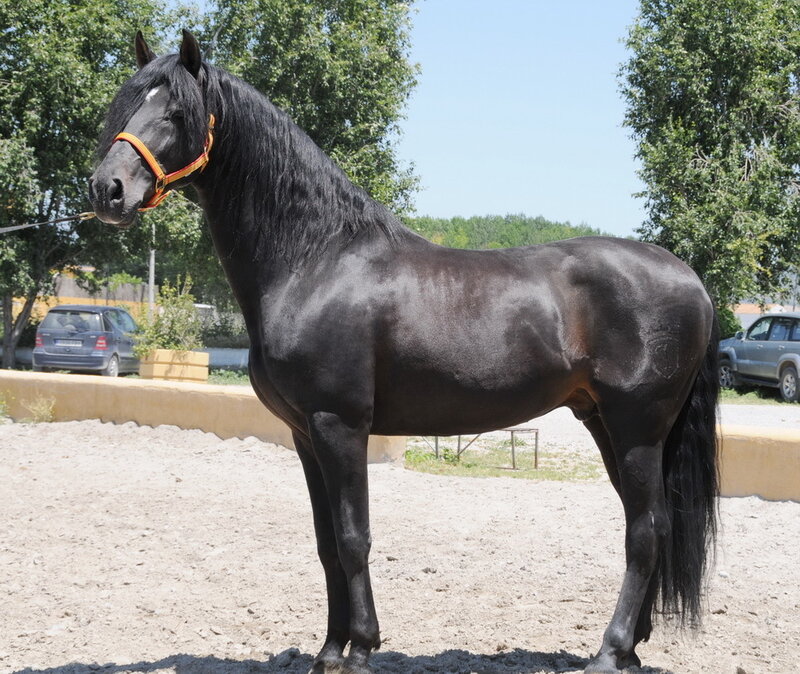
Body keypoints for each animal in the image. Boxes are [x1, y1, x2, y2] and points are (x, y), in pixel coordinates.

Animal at [89, 31, 720, 674]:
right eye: (128, 105)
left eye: (176, 112)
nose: (106, 189)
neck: (313, 260)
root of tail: (690, 279)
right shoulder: (304, 434)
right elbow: (325, 542)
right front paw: (329, 650)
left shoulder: (340, 425)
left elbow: (353, 537)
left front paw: (362, 647)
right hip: (605, 423)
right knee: (650, 525)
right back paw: (631, 647)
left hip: (637, 428)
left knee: (646, 530)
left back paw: (610, 651)